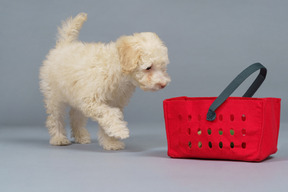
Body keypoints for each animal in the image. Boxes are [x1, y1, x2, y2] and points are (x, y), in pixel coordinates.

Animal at [40, 12, 171, 150]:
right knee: (55, 117)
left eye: (163, 67)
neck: (116, 68)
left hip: (76, 96)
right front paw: (120, 131)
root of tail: (64, 45)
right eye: (148, 67)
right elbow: (110, 114)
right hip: (54, 96)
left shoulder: (113, 101)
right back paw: (58, 138)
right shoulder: (91, 100)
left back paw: (81, 136)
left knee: (76, 115)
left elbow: (108, 119)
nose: (163, 84)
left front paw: (111, 143)